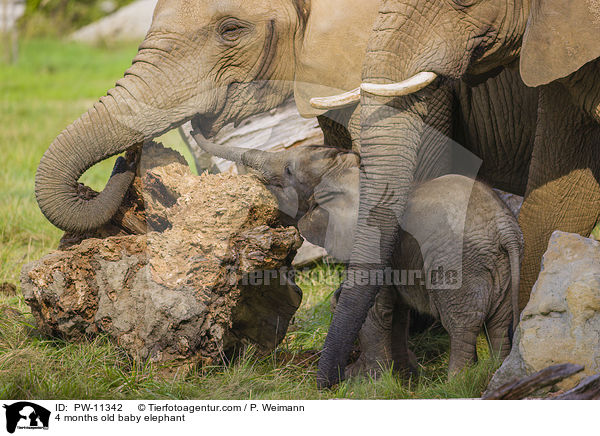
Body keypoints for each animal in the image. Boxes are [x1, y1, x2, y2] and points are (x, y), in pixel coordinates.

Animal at [191, 133, 520, 378]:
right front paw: (402, 378)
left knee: (461, 324)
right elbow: (393, 310)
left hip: (459, 263)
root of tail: (505, 227)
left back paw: (457, 382)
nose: (194, 129)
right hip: (499, 266)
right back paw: (491, 372)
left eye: (289, 171)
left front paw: (364, 381)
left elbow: (373, 308)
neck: (350, 173)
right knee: (499, 324)